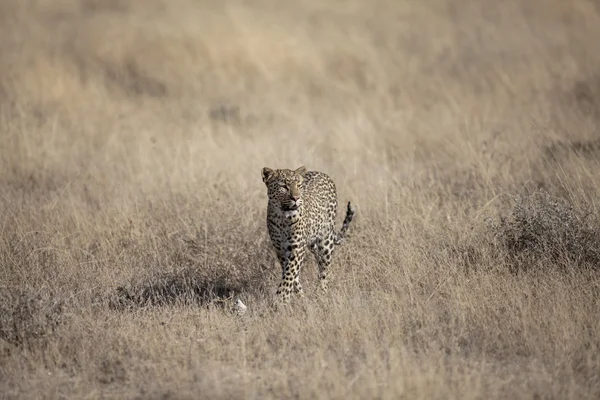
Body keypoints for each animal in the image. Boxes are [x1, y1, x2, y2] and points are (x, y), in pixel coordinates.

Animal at [260, 164, 354, 304]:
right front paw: (299, 295)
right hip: (312, 244)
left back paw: (322, 292)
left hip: (326, 241)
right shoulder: (280, 250)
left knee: (324, 268)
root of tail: (323, 174)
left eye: (299, 185)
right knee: (319, 260)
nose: (296, 198)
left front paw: (282, 298)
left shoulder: (297, 248)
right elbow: (291, 274)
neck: (282, 218)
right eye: (284, 186)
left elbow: (290, 273)